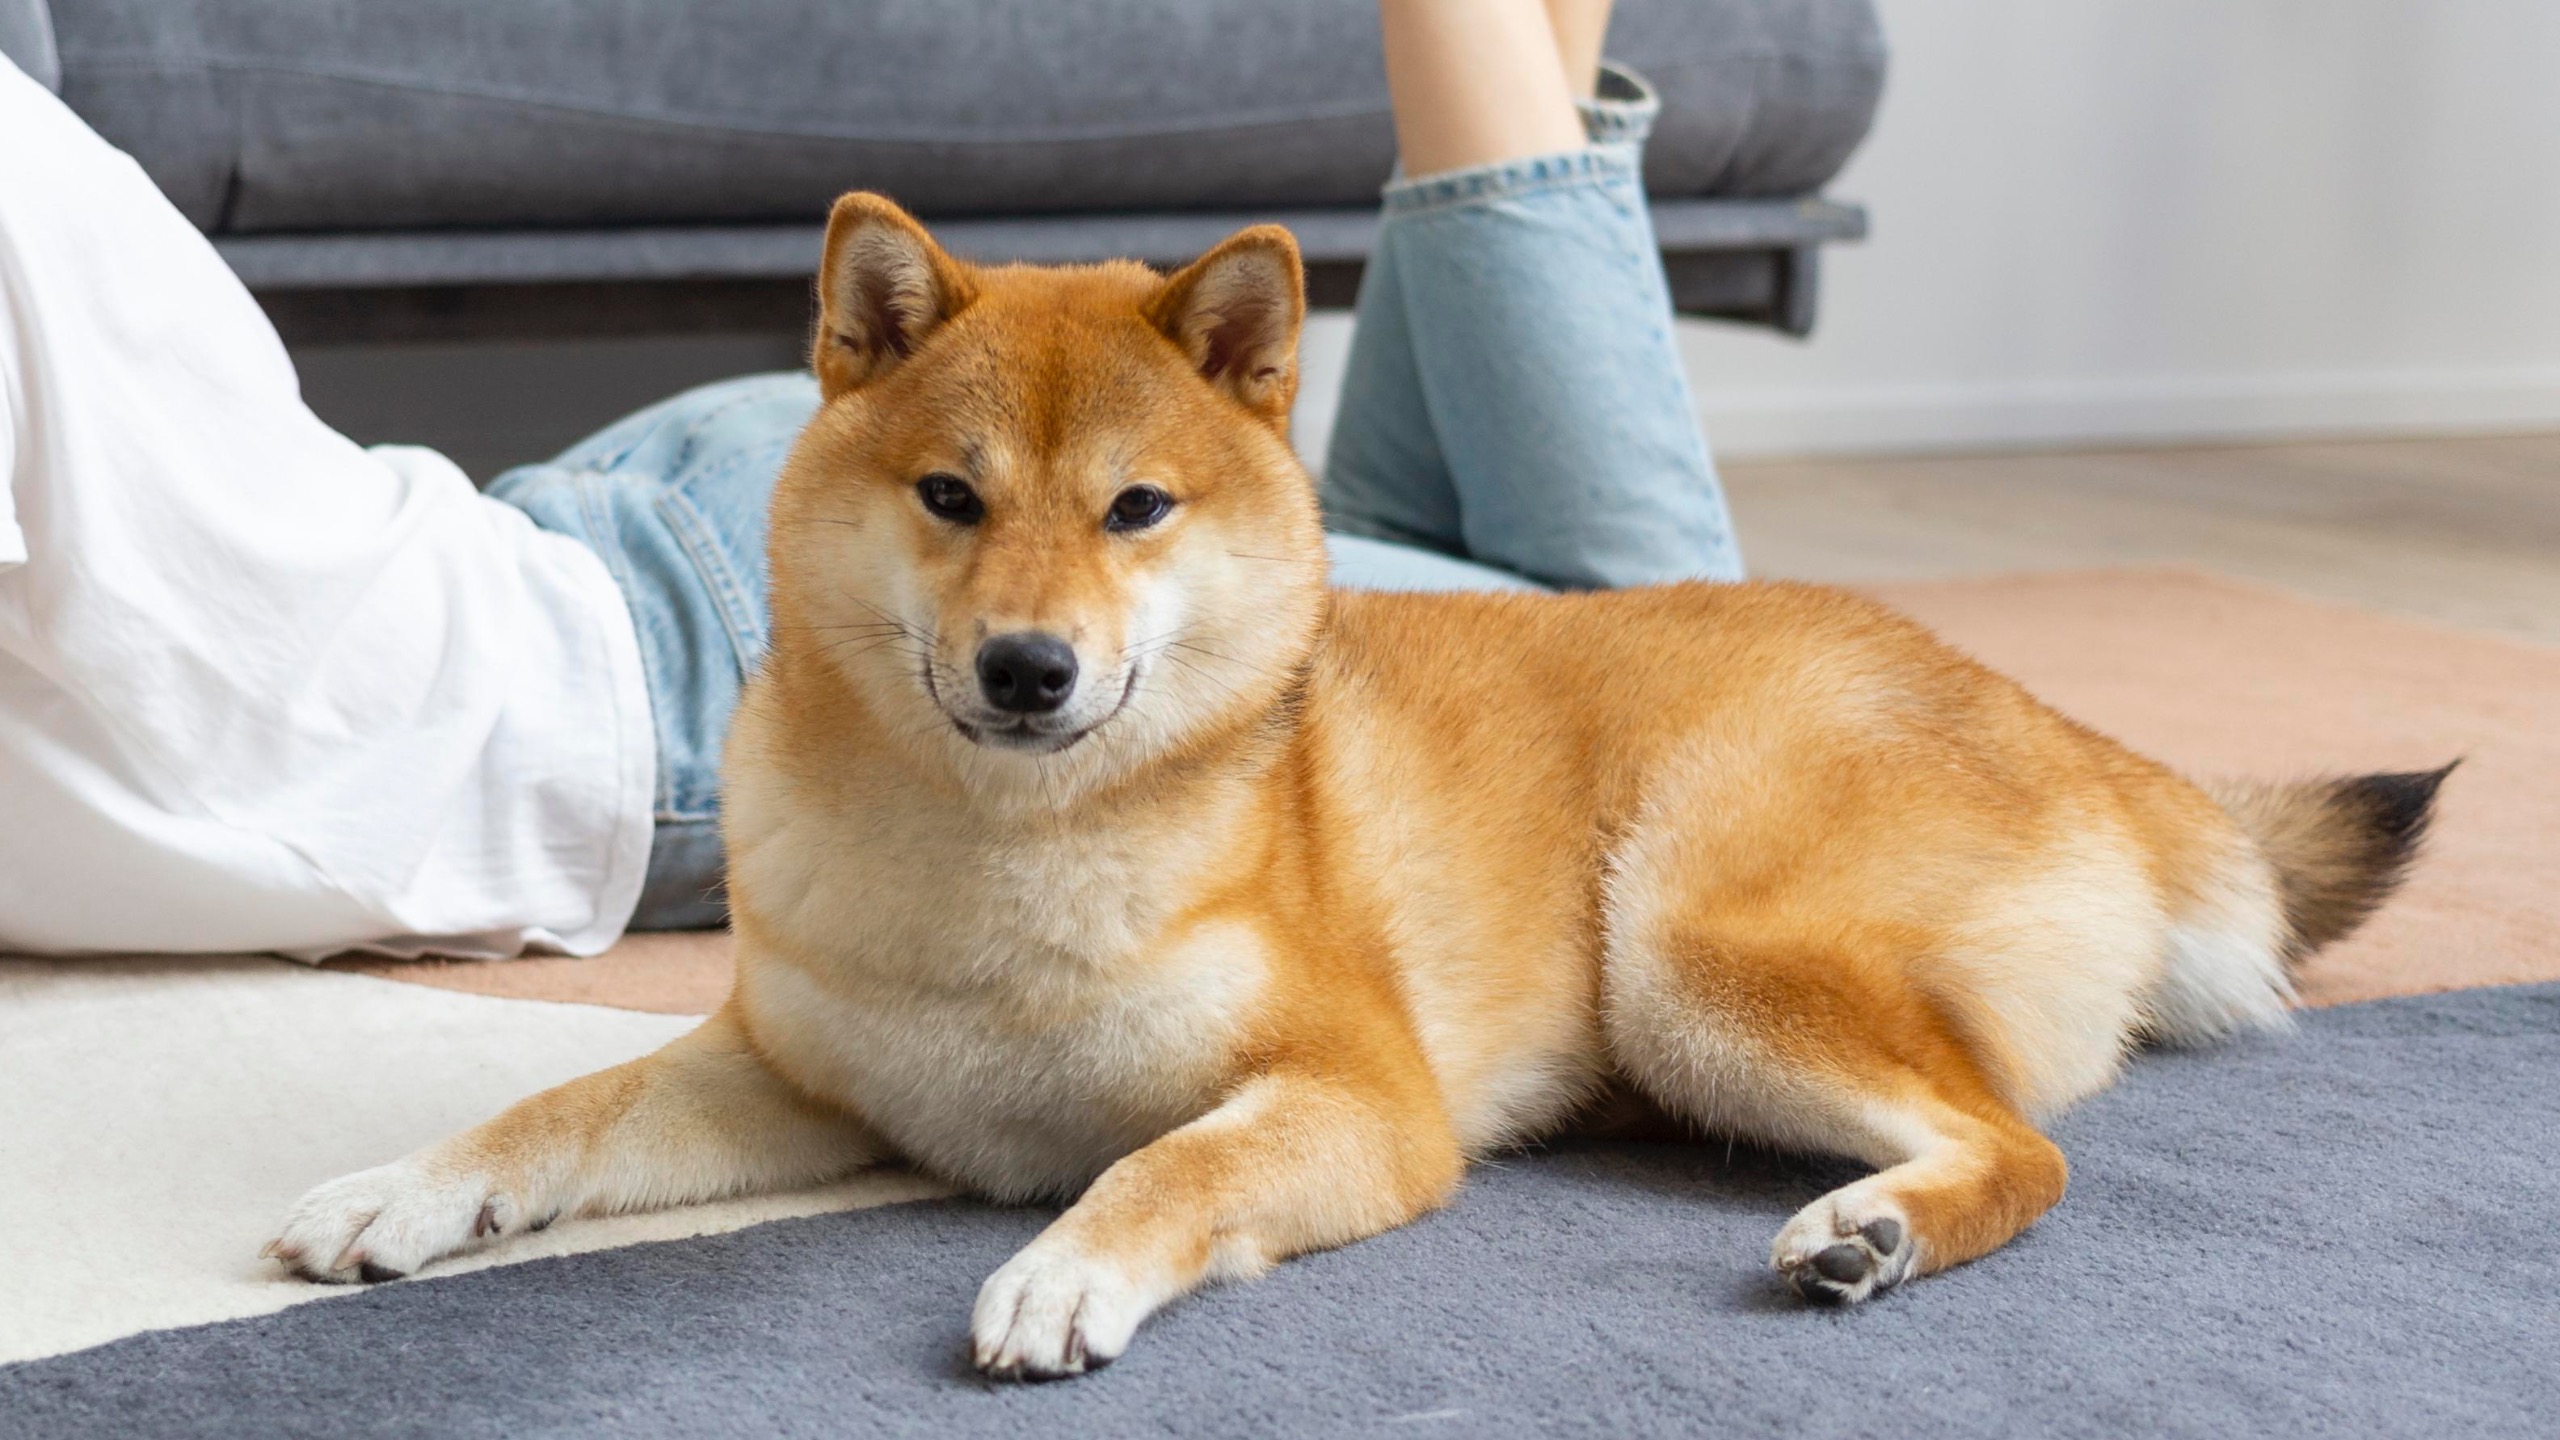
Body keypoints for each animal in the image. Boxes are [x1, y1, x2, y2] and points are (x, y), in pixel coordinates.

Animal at [264, 193, 2437, 1383]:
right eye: (950, 497)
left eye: (1136, 512)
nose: (1029, 668)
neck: (997, 874)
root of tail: (2058, 721)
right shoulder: (801, 1075)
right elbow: (555, 1109)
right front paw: (398, 1188)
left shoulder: (1360, 1097)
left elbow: (1167, 1166)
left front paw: (1066, 1268)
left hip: (1686, 947)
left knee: (2025, 1149)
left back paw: (1872, 1229)